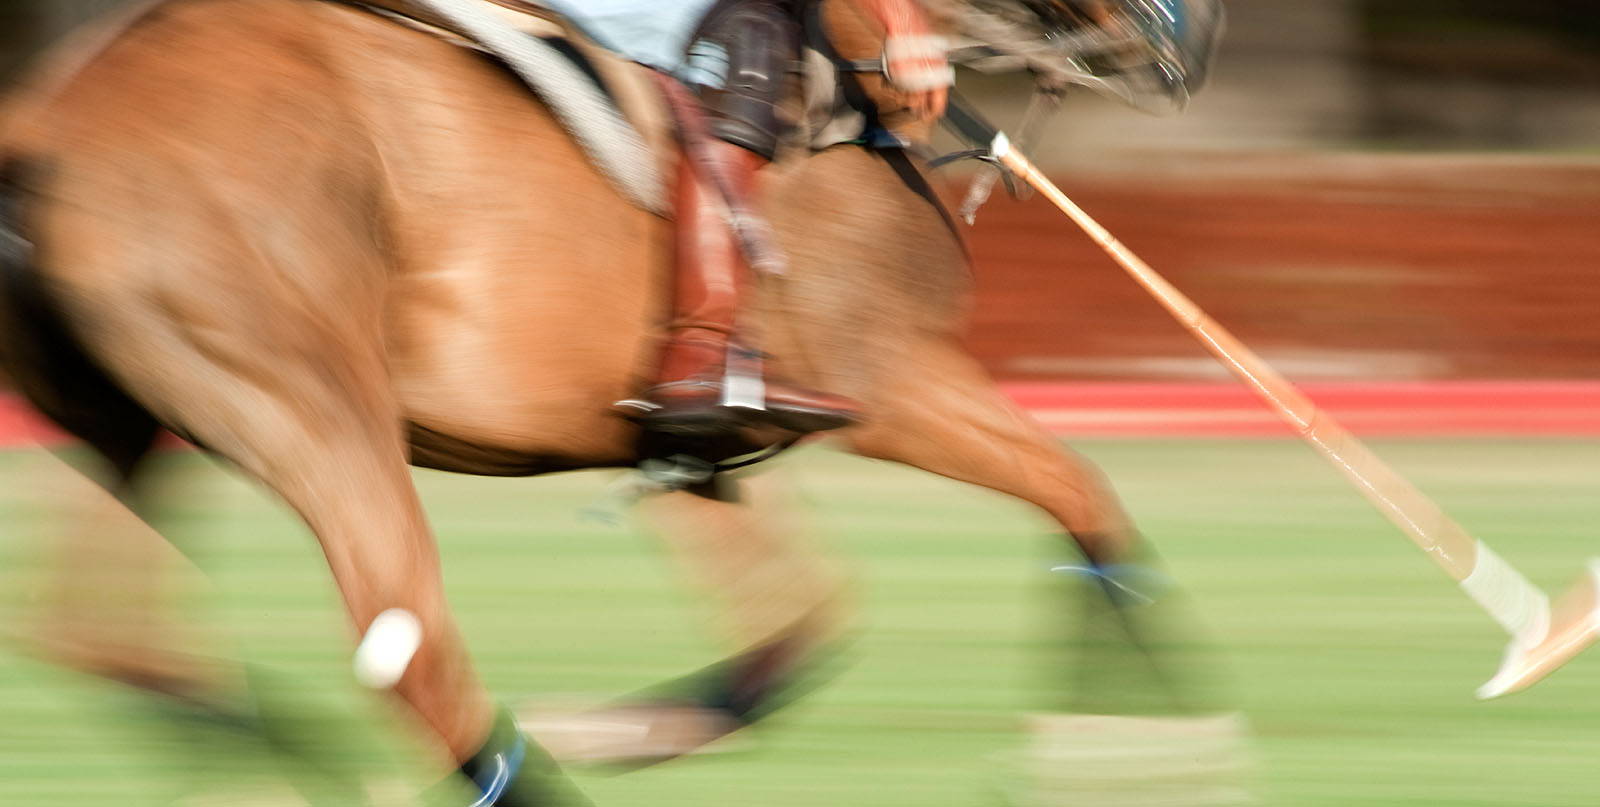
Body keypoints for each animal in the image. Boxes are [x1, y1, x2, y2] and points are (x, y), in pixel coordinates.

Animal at [0, 0, 1217, 799]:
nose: (1194, 38)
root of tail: (54, 123)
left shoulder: (689, 439)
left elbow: (798, 625)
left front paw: (623, 727)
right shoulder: (893, 379)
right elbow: (1078, 486)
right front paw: (1155, 724)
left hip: (130, 423)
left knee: (100, 636)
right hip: (305, 398)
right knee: (410, 646)